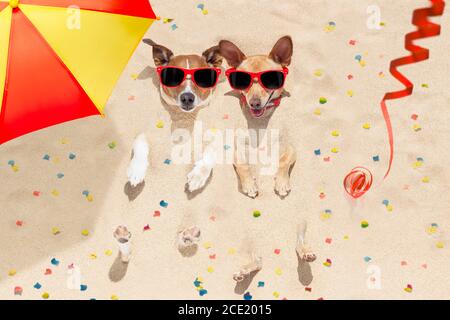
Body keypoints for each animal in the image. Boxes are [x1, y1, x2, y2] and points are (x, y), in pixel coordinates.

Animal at [126, 39, 221, 190]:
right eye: (173, 76)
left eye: (202, 77)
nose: (187, 97)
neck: (183, 117)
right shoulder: (145, 129)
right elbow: (141, 144)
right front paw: (136, 169)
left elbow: (212, 150)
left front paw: (198, 175)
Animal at [220, 36, 298, 199]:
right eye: (243, 82)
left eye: (271, 80)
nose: (254, 103)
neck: (260, 122)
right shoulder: (237, 151)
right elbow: (243, 166)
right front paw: (249, 184)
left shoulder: (290, 148)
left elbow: (283, 160)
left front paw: (282, 182)